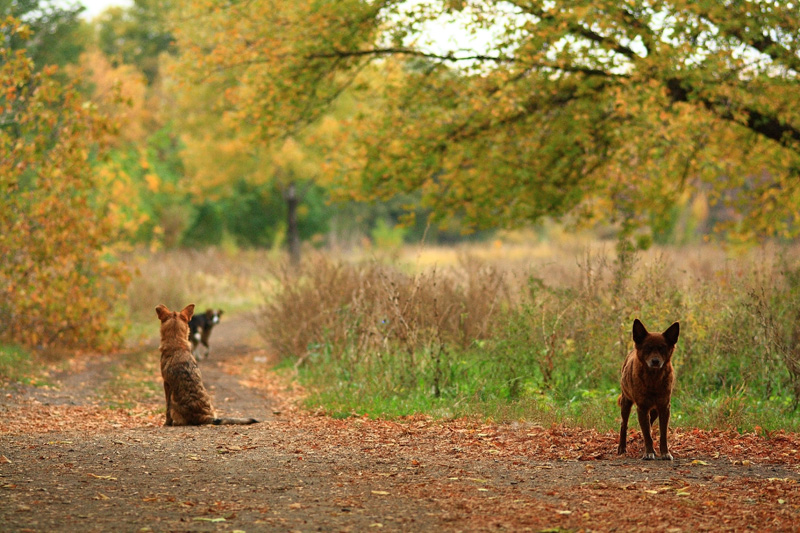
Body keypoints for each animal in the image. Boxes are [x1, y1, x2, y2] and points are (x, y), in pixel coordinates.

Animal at [616, 318, 680, 460]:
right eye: (647, 348)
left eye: (662, 348)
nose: (655, 361)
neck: (654, 380)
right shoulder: (642, 407)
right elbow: (646, 434)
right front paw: (649, 452)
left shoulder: (664, 408)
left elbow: (662, 433)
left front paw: (665, 453)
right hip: (626, 403)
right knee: (624, 425)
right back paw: (622, 448)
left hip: (654, 411)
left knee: (649, 424)